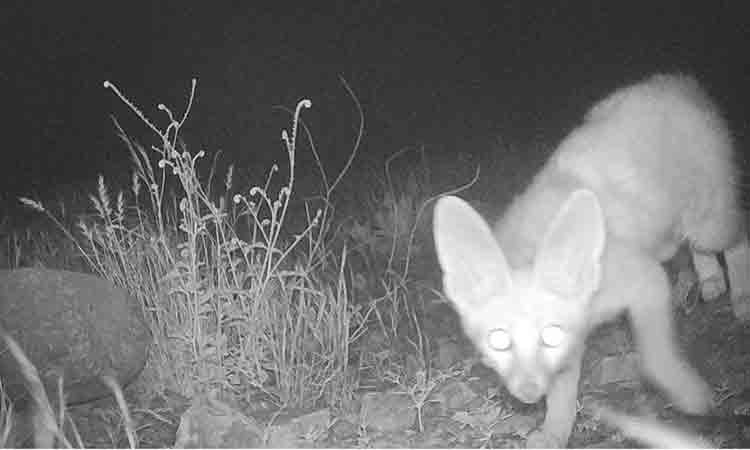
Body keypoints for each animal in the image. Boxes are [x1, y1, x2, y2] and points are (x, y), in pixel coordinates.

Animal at [432, 74, 748, 446]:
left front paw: (689, 394)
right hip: (678, 227)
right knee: (695, 246)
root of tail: (675, 81)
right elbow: (562, 394)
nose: (528, 392)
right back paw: (711, 281)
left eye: (550, 335)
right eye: (499, 341)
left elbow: (656, 356)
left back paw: (741, 298)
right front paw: (553, 433)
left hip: (707, 220)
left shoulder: (646, 281)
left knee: (737, 238)